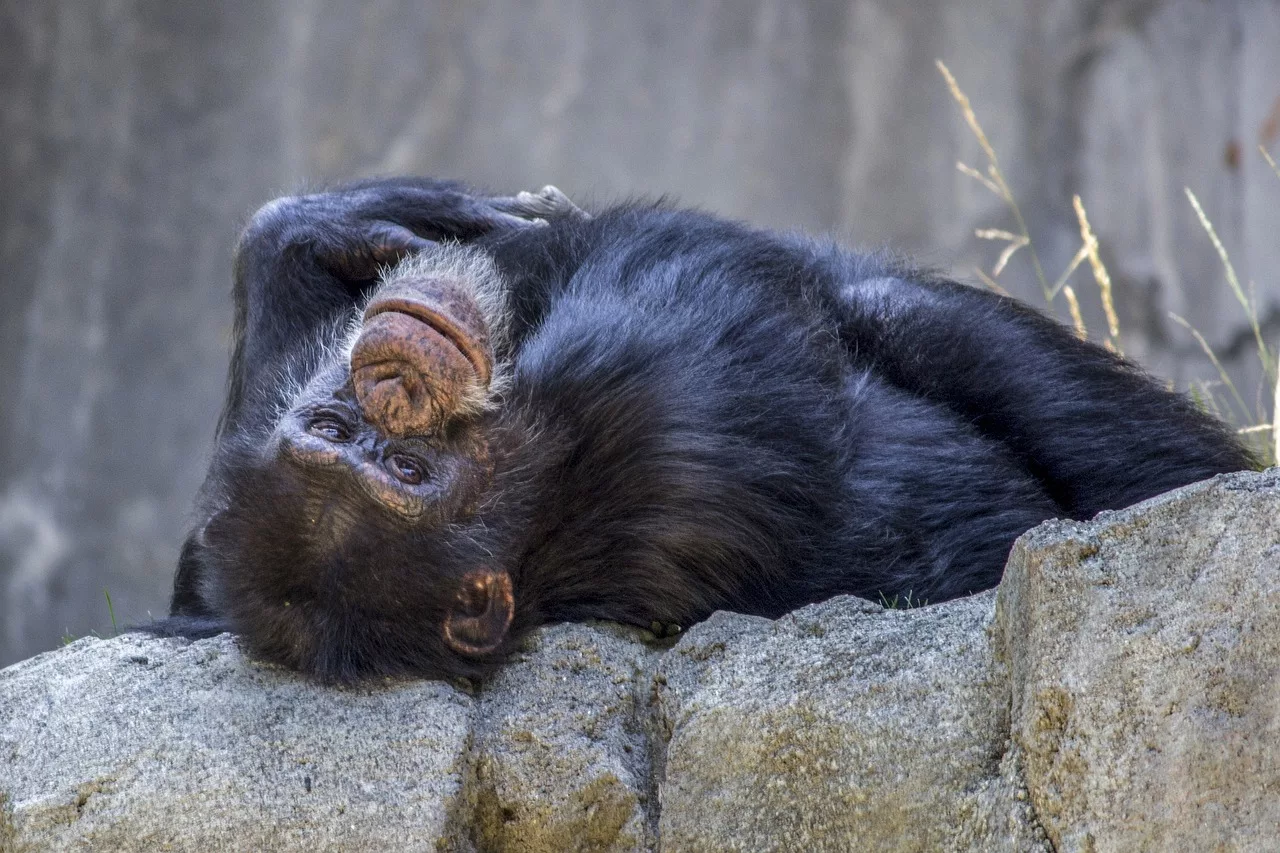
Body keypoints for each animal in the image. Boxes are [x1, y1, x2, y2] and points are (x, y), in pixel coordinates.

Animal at [145, 178, 1251, 683]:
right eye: (409, 473)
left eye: (355, 436)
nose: (387, 381)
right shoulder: (643, 405)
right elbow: (698, 277)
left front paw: (333, 227)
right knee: (907, 315)